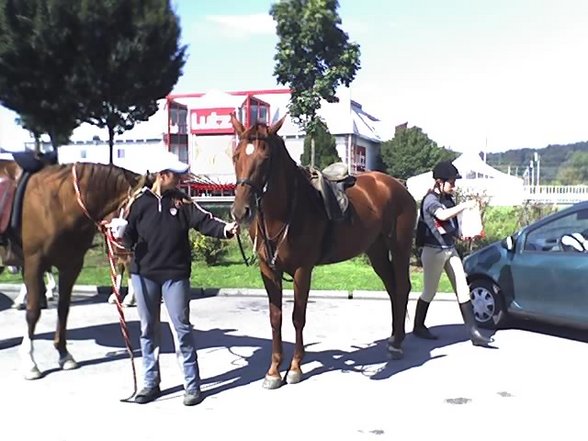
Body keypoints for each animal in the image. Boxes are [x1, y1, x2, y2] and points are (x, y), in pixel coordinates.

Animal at [0, 162, 146, 378]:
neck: (58, 204)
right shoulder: (34, 262)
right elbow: (33, 311)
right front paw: (30, 362)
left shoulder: (71, 265)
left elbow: (63, 309)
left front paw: (64, 354)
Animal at [230, 114, 418, 388]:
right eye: (236, 155)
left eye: (265, 157)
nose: (240, 211)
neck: (286, 211)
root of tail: (399, 186)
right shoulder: (269, 270)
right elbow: (276, 317)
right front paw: (274, 371)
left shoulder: (302, 270)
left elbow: (298, 316)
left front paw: (295, 368)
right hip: (376, 250)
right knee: (393, 289)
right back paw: (394, 338)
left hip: (400, 246)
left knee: (402, 287)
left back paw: (398, 345)